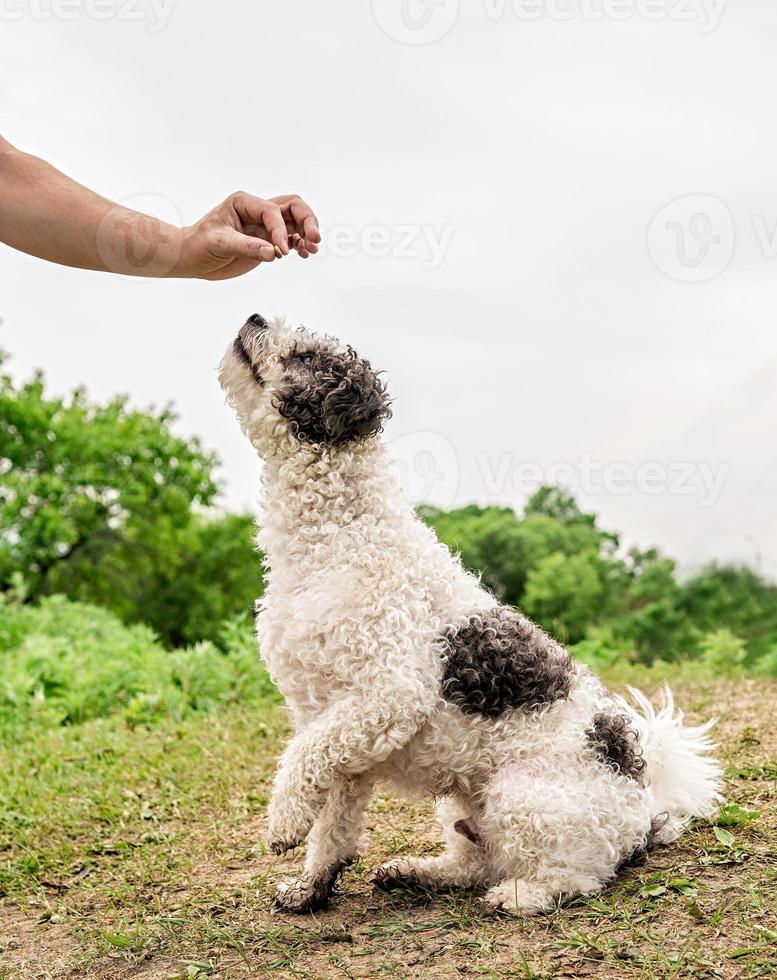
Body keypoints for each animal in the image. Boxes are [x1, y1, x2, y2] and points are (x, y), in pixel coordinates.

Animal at [218, 316, 720, 920]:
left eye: (306, 355)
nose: (254, 317)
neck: (340, 537)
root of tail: (645, 808)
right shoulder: (336, 725)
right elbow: (334, 822)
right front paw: (312, 885)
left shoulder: (385, 696)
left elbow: (304, 758)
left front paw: (286, 819)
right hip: (463, 804)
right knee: (476, 861)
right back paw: (418, 872)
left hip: (524, 794)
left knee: (577, 876)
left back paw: (521, 895)